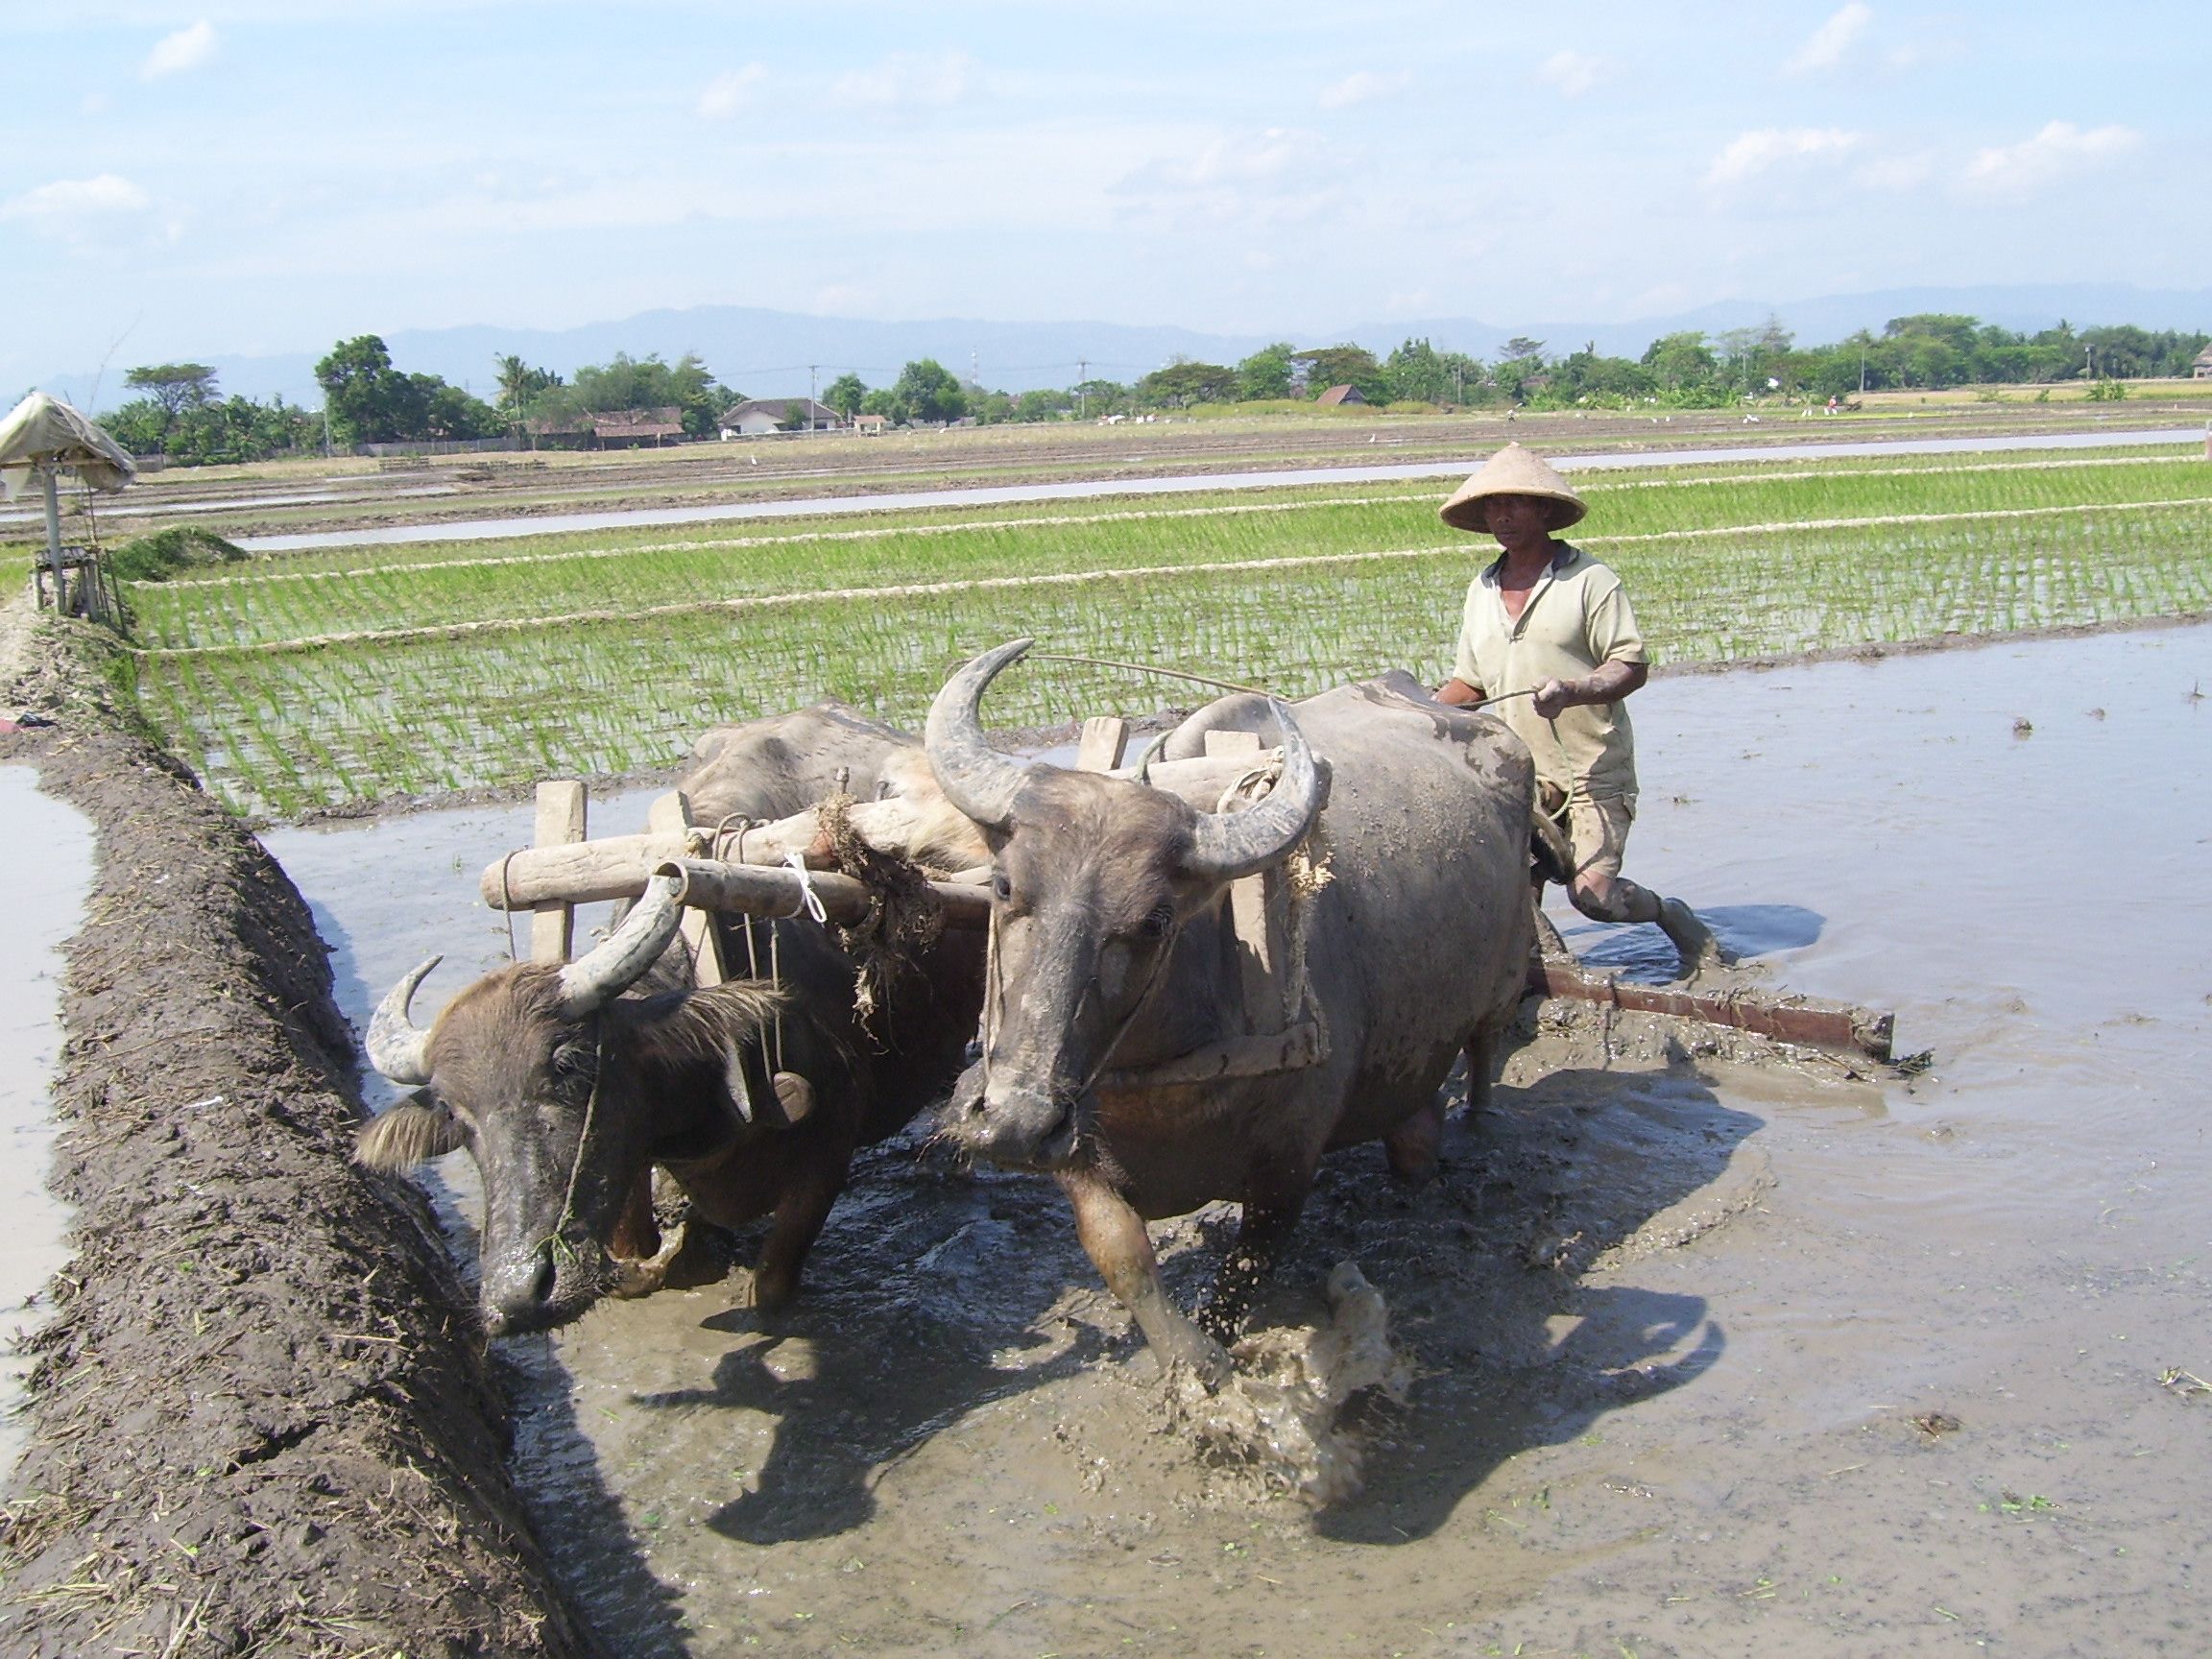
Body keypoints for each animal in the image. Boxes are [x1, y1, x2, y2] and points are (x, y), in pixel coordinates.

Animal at [353, 708, 986, 1335]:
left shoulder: (826, 1157)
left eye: (570, 1065)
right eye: (456, 1114)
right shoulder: (633, 1157)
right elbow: (637, 1264)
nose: (515, 1296)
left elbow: (769, 1288)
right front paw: (676, 1251)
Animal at [925, 641, 1548, 1380]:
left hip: (1505, 979)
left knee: (1482, 1055)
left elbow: (1242, 1276)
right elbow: (1123, 1260)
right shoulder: (1078, 1155)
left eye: (1156, 920)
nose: (1014, 1122)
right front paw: (1187, 1363)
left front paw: (1216, 1362)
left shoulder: (1289, 1168)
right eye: (1002, 885)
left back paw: (1482, 1122)